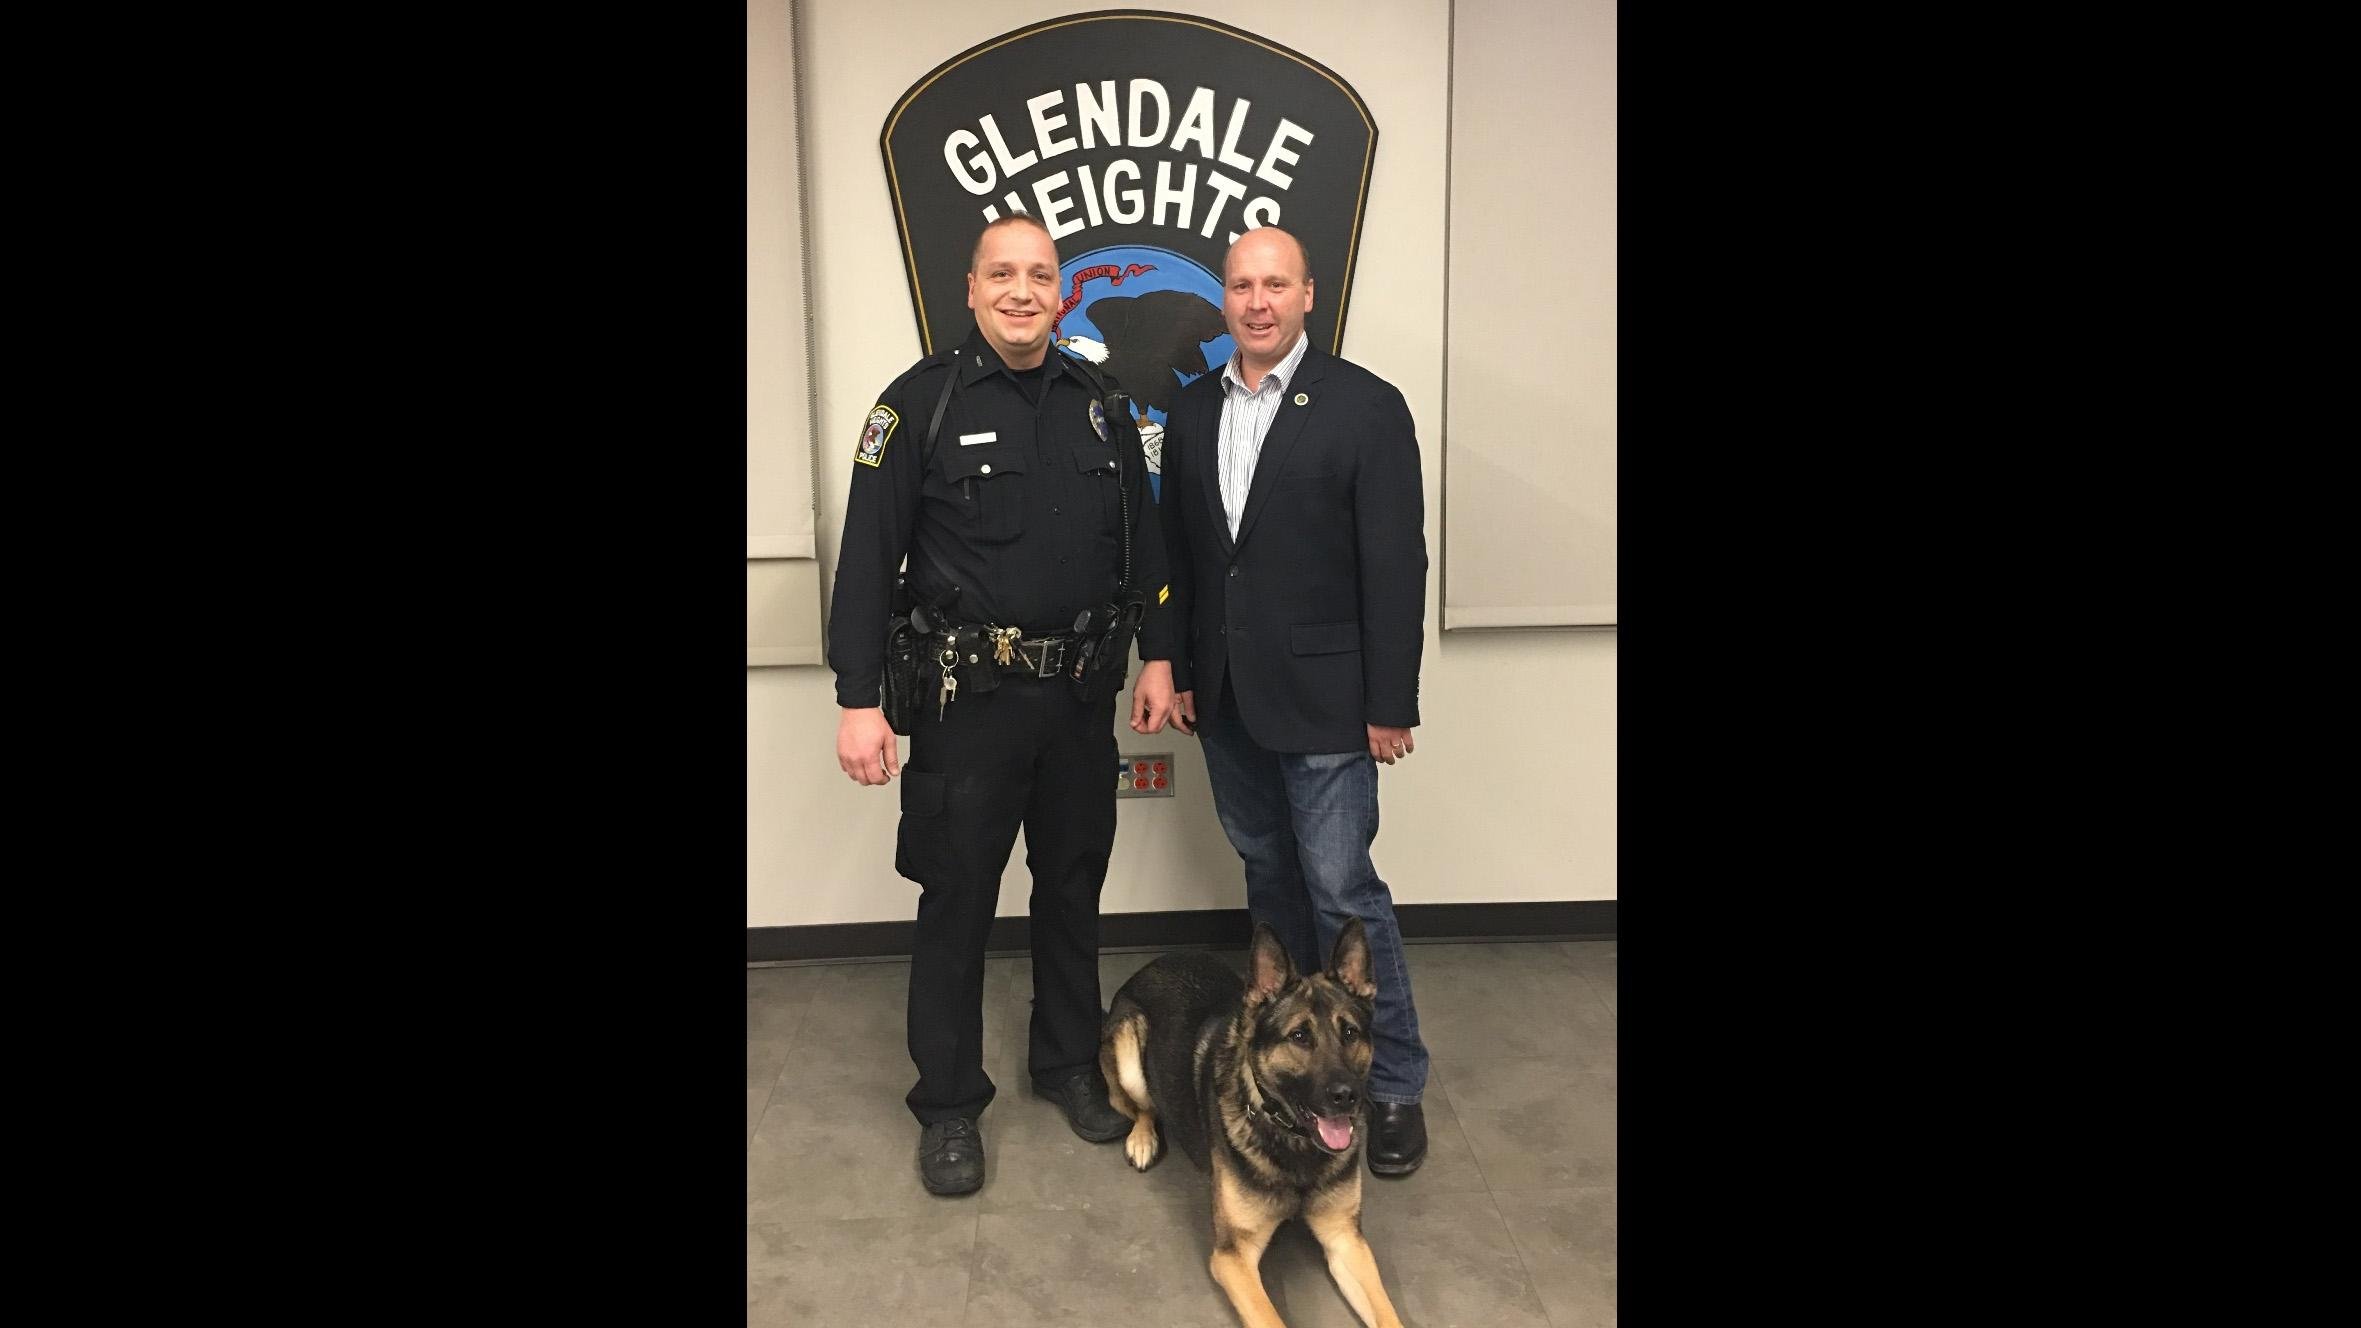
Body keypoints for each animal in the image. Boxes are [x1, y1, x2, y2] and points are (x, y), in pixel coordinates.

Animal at [1100, 921, 1407, 1323]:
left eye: (1350, 1033)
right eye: (1299, 1036)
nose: (1347, 1095)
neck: (1293, 1140)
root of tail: (1153, 963)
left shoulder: (1345, 1241)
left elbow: (1388, 1314)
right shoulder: (1233, 1257)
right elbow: (1269, 1317)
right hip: (1128, 1053)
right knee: (1143, 1107)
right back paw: (1142, 1139)